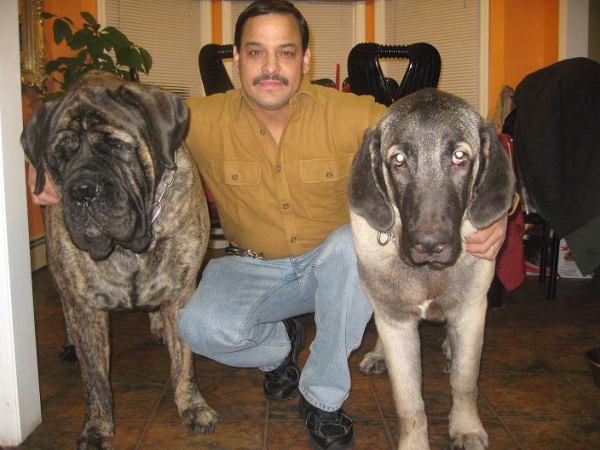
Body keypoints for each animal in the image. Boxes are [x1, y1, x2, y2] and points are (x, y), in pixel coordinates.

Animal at [23, 71, 221, 450]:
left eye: (116, 146)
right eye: (59, 156)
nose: (83, 191)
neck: (130, 246)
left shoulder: (182, 290)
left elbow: (184, 361)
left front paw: (193, 407)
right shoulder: (85, 304)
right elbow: (95, 379)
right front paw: (97, 428)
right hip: (60, 276)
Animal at [350, 89, 512, 450]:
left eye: (459, 156)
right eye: (398, 160)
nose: (429, 243)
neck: (429, 273)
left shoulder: (470, 312)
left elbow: (465, 382)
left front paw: (465, 428)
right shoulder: (396, 322)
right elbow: (409, 402)